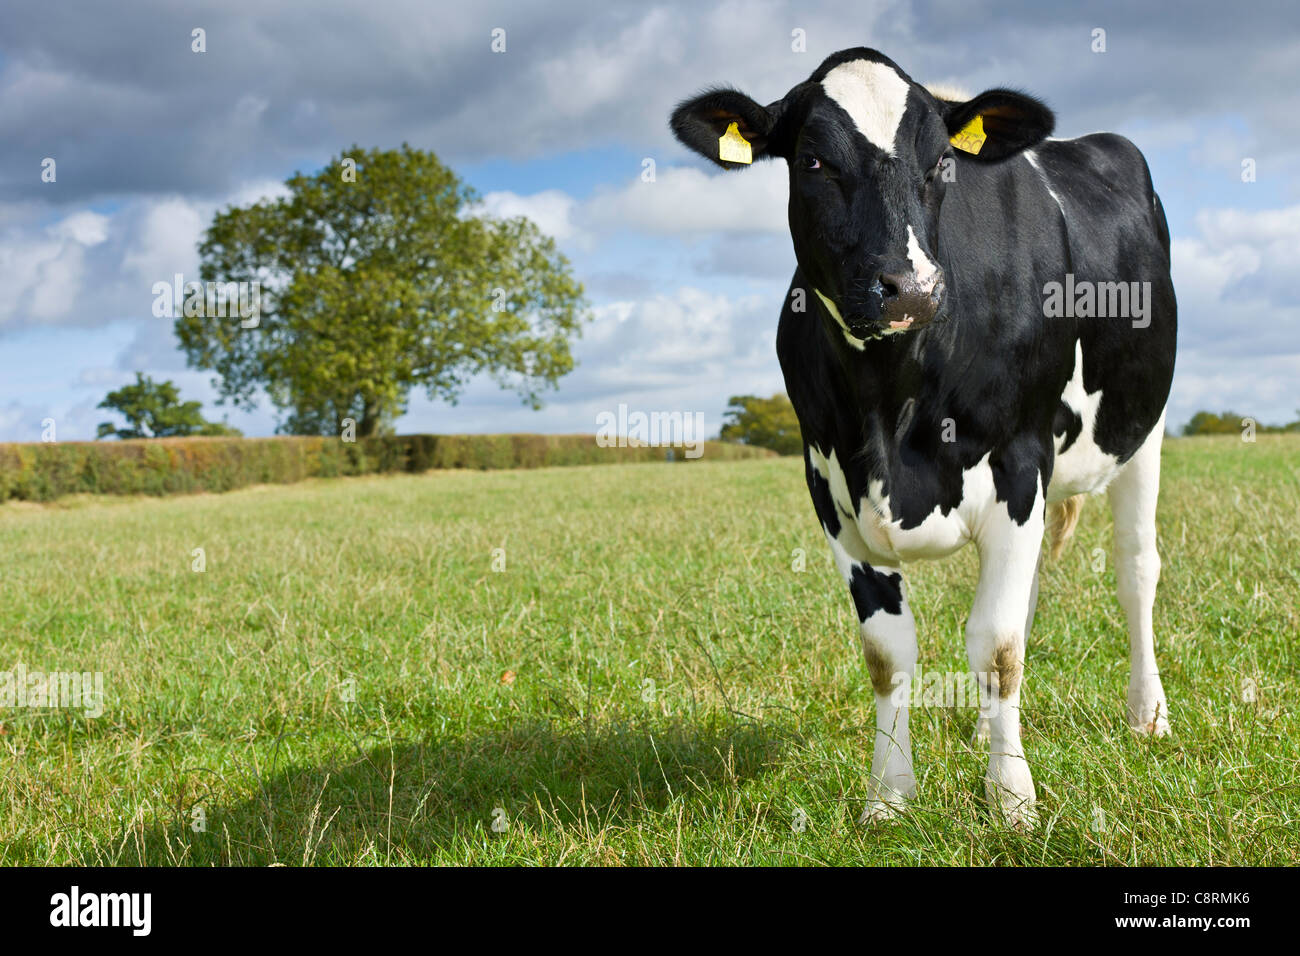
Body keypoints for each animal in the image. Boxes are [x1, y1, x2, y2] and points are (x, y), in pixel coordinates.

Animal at [670, 48, 1180, 832]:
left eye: (942, 161)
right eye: (812, 160)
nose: (908, 289)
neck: (893, 396)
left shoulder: (1020, 462)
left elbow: (996, 645)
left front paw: (1012, 800)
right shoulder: (830, 487)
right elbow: (891, 653)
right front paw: (889, 796)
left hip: (1141, 432)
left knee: (1134, 572)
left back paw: (1146, 713)